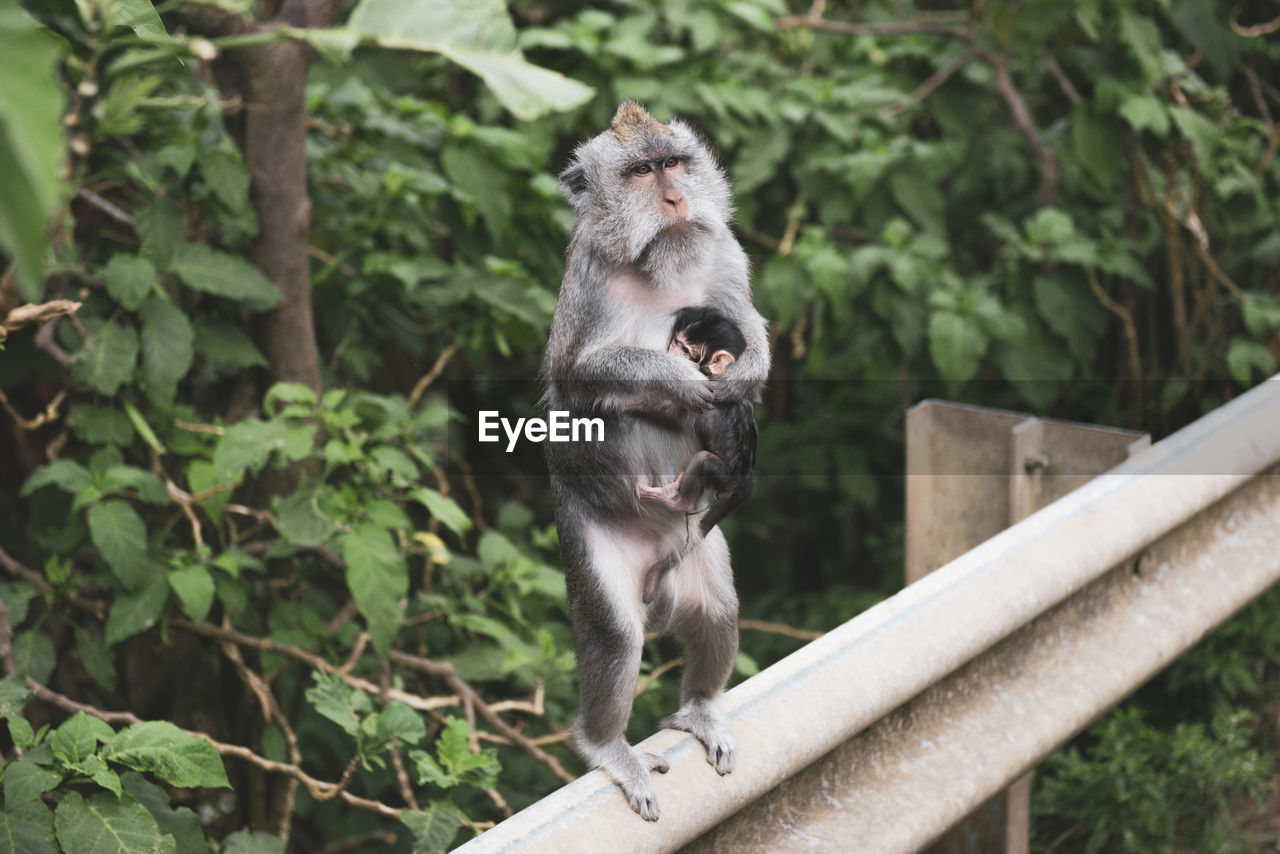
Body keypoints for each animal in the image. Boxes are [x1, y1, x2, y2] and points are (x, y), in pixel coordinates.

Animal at [634, 307, 752, 606]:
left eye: (686, 349)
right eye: (674, 342)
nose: (671, 352)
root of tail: (748, 482)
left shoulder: (699, 392)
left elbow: (667, 412)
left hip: (725, 477)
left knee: (703, 462)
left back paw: (672, 499)